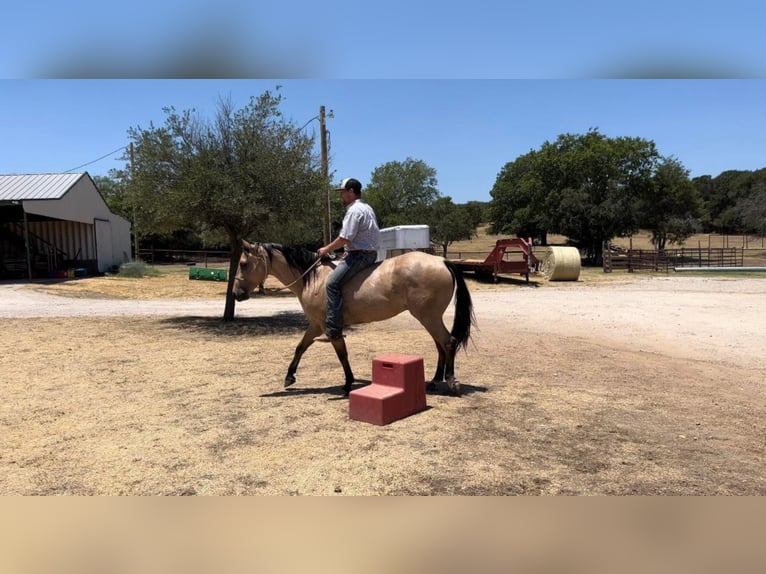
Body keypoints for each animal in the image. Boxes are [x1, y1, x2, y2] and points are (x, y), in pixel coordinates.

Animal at [231, 241, 476, 398]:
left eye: (243, 263)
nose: (236, 293)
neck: (313, 279)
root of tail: (442, 261)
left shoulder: (328, 327)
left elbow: (341, 354)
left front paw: (348, 383)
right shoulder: (315, 325)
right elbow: (301, 347)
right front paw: (289, 377)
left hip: (429, 316)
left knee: (448, 342)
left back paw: (452, 381)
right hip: (429, 318)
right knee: (440, 345)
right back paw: (435, 380)